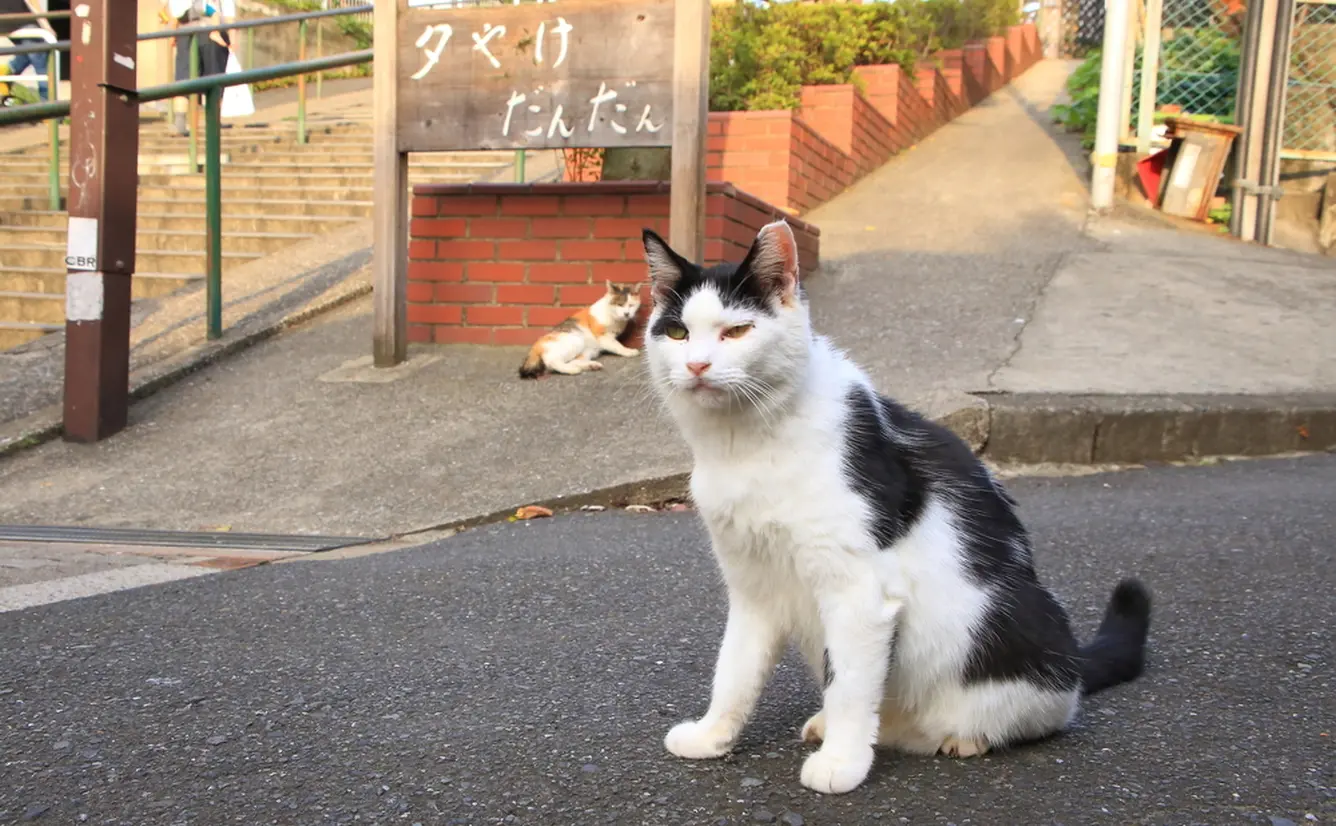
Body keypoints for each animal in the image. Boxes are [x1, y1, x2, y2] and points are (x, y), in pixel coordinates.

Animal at [641, 216, 1154, 791]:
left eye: (736, 331)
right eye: (678, 332)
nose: (697, 365)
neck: (744, 445)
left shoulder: (859, 591)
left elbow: (849, 686)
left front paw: (841, 765)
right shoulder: (753, 589)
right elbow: (734, 670)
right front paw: (713, 737)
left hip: (1009, 628)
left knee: (1038, 711)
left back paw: (962, 736)